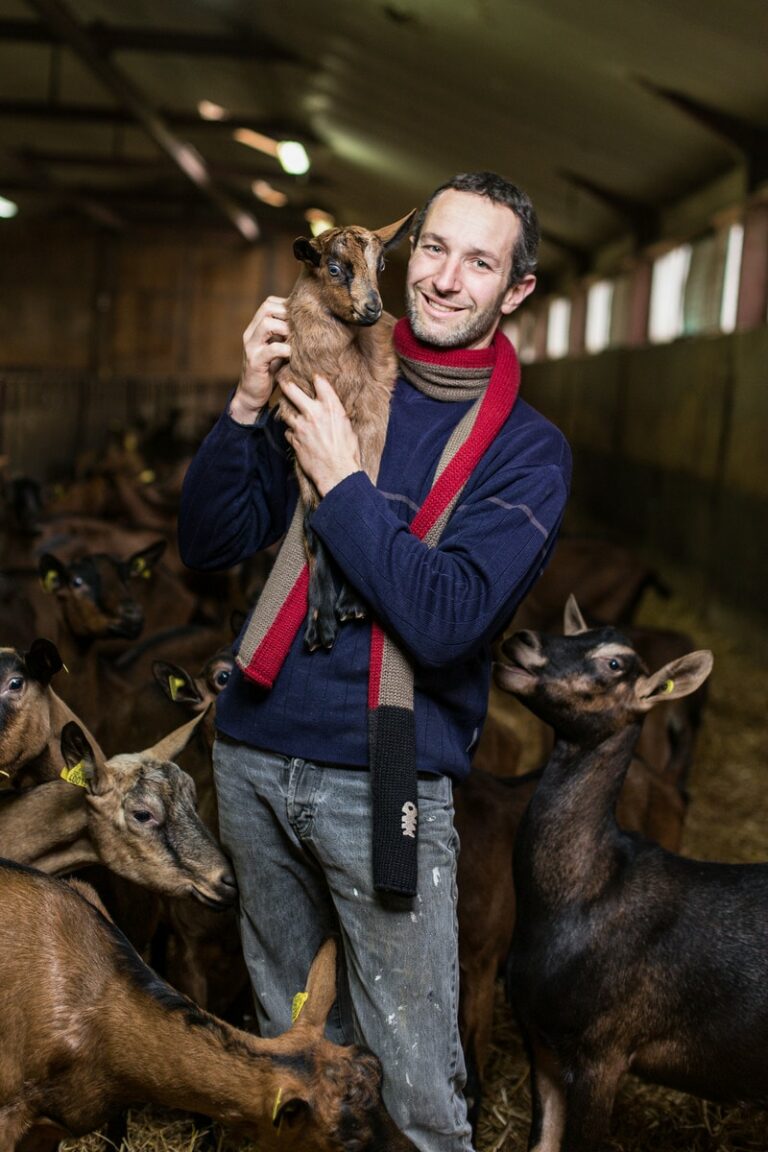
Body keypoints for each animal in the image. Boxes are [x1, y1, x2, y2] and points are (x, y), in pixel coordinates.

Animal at [276, 211, 416, 654]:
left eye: (382, 266)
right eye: (334, 269)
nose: (372, 307)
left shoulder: (371, 416)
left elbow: (362, 495)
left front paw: (351, 604)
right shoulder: (296, 425)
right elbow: (313, 524)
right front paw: (320, 622)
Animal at [492, 599, 768, 1152]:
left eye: (615, 662)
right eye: (581, 630)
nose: (522, 640)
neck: (582, 895)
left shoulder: (603, 1052)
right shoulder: (542, 1043)